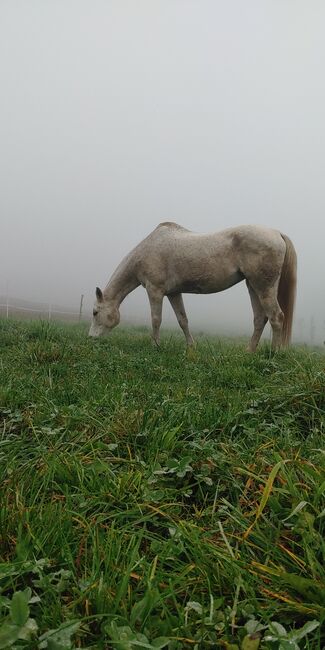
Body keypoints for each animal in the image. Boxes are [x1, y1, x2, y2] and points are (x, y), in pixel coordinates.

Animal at [88, 225, 296, 352]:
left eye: (95, 312)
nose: (90, 338)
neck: (148, 251)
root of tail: (276, 233)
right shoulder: (173, 293)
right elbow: (183, 320)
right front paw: (191, 347)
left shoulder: (155, 291)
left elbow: (156, 319)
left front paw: (155, 345)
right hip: (253, 285)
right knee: (260, 319)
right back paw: (249, 351)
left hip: (264, 287)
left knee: (276, 317)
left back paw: (273, 352)